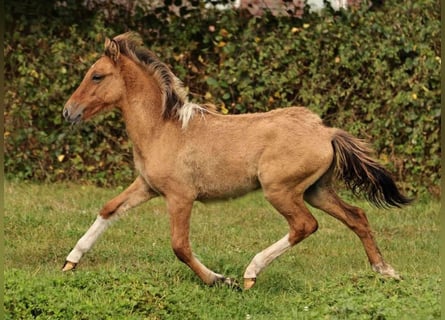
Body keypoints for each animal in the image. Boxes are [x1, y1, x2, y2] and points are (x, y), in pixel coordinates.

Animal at [61, 32, 410, 290]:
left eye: (97, 76)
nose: (68, 112)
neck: (162, 128)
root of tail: (326, 131)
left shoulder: (180, 197)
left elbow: (180, 246)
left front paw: (219, 279)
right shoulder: (147, 186)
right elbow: (109, 208)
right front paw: (70, 262)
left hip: (280, 190)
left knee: (304, 225)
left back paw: (250, 273)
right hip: (316, 190)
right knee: (357, 216)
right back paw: (386, 271)